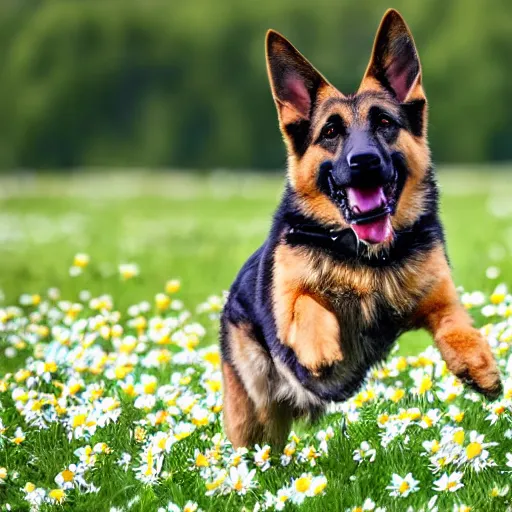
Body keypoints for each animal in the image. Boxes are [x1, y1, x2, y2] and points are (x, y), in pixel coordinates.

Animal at [219, 8, 500, 448]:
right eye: (331, 132)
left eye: (385, 122)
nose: (364, 161)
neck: (367, 259)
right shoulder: (287, 302)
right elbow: (306, 303)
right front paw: (320, 348)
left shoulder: (439, 301)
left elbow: (457, 325)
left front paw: (479, 362)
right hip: (252, 415)